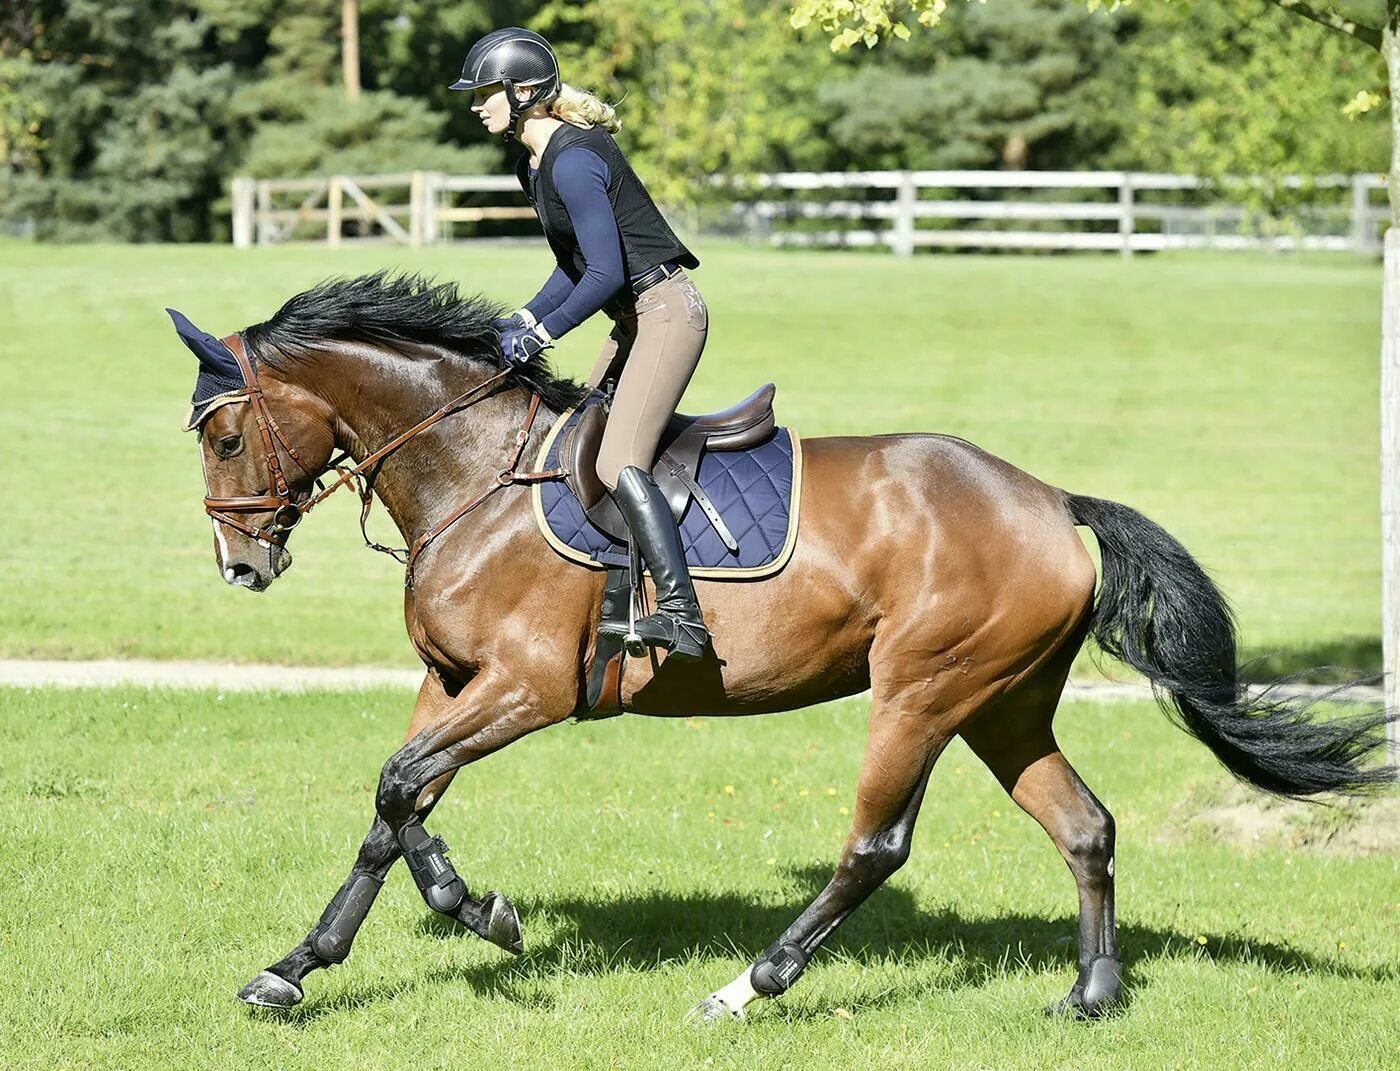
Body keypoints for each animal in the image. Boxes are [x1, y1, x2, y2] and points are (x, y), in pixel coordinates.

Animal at [175, 268, 1388, 1019]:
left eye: (225, 437)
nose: (239, 566)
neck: (474, 472)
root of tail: (1049, 500)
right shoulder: (453, 683)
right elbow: (394, 808)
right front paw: (301, 966)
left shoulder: (526, 688)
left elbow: (398, 790)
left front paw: (482, 914)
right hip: (1003, 703)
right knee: (1084, 827)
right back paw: (1090, 994)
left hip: (921, 692)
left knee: (874, 847)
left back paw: (748, 987)